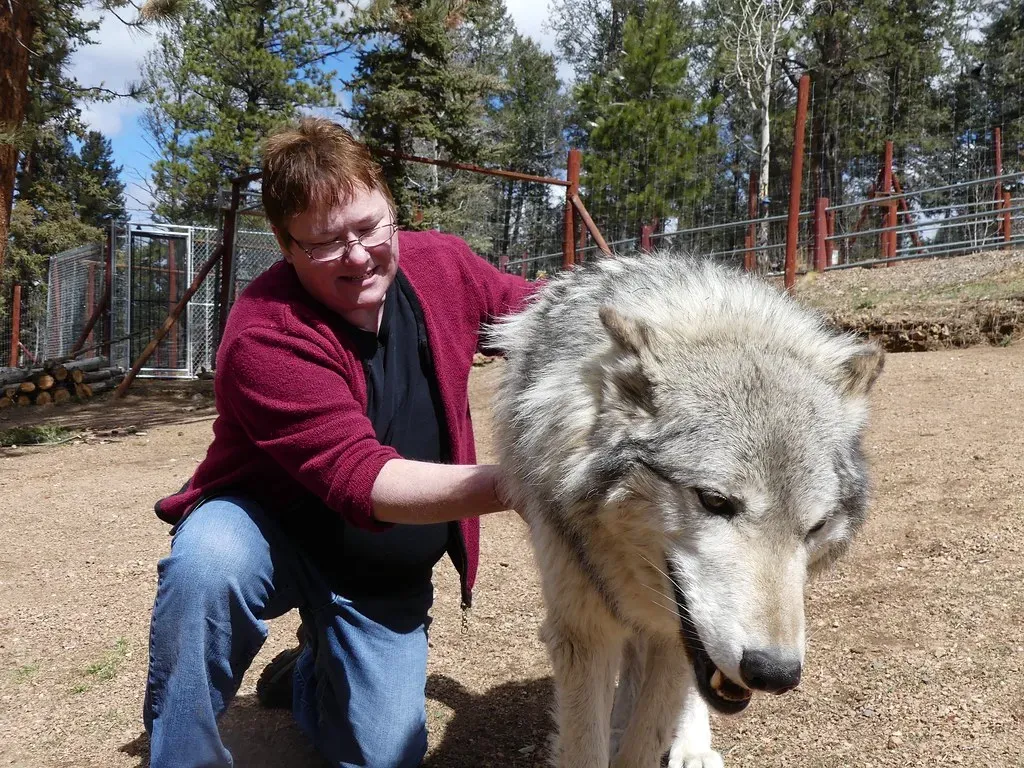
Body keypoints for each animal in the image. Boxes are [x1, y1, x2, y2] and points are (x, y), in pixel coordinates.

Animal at [490, 252, 883, 768]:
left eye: (815, 526)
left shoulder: (677, 636)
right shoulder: (584, 627)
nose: (774, 673)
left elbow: (650, 733)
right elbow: (587, 744)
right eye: (715, 501)